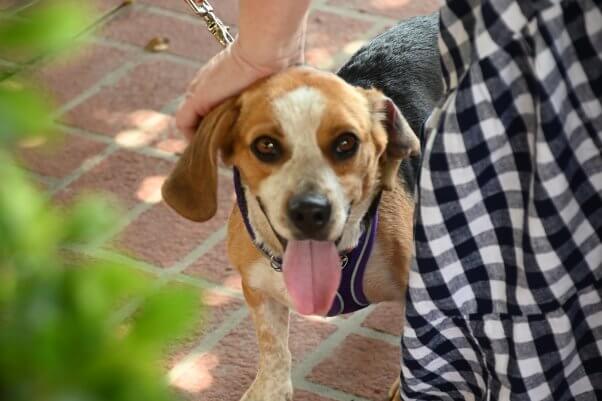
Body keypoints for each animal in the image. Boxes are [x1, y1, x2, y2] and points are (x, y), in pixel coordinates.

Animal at [162, 13, 438, 400]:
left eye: (346, 143)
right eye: (265, 146)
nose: (310, 211)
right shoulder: (258, 290)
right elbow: (274, 350)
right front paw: (269, 389)